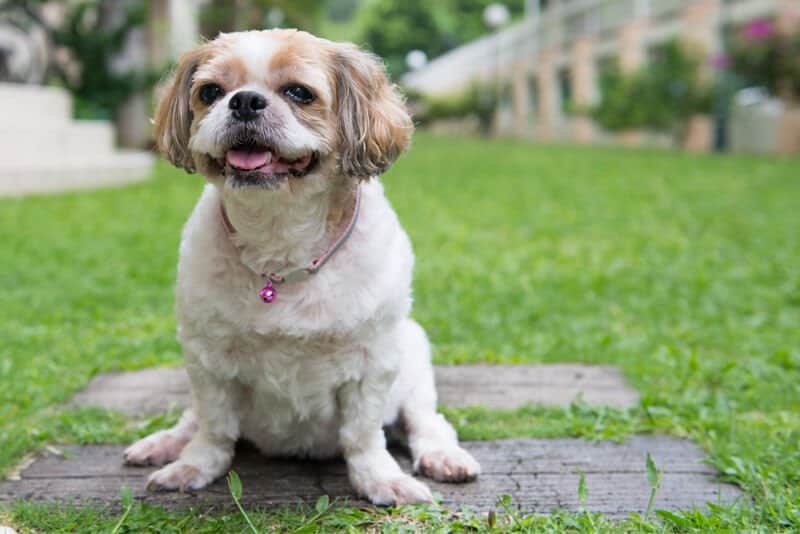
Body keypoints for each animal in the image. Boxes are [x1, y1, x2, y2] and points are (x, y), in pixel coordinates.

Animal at [122, 28, 478, 506]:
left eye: (298, 93)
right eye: (209, 92)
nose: (245, 101)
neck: (280, 245)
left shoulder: (373, 361)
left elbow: (363, 435)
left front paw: (379, 479)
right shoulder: (206, 359)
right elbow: (214, 428)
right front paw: (195, 465)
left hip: (415, 358)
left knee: (427, 422)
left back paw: (442, 455)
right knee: (192, 419)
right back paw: (165, 444)